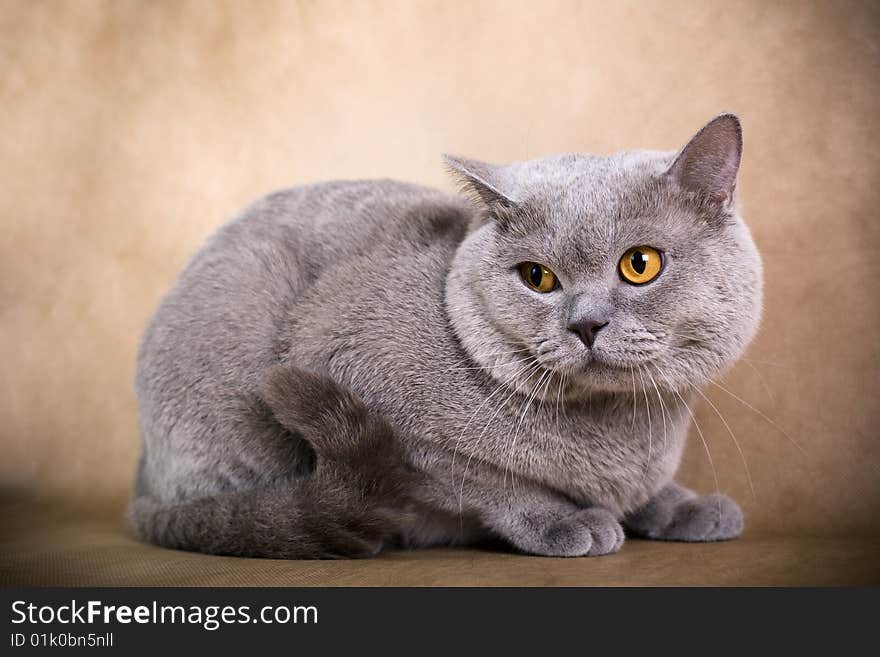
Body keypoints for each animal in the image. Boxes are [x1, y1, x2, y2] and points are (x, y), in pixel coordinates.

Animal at [131, 114, 764, 560]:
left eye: (640, 264)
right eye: (538, 278)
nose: (586, 323)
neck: (623, 431)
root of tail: (141, 480)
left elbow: (645, 490)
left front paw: (685, 506)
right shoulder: (352, 369)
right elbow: (482, 479)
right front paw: (567, 521)